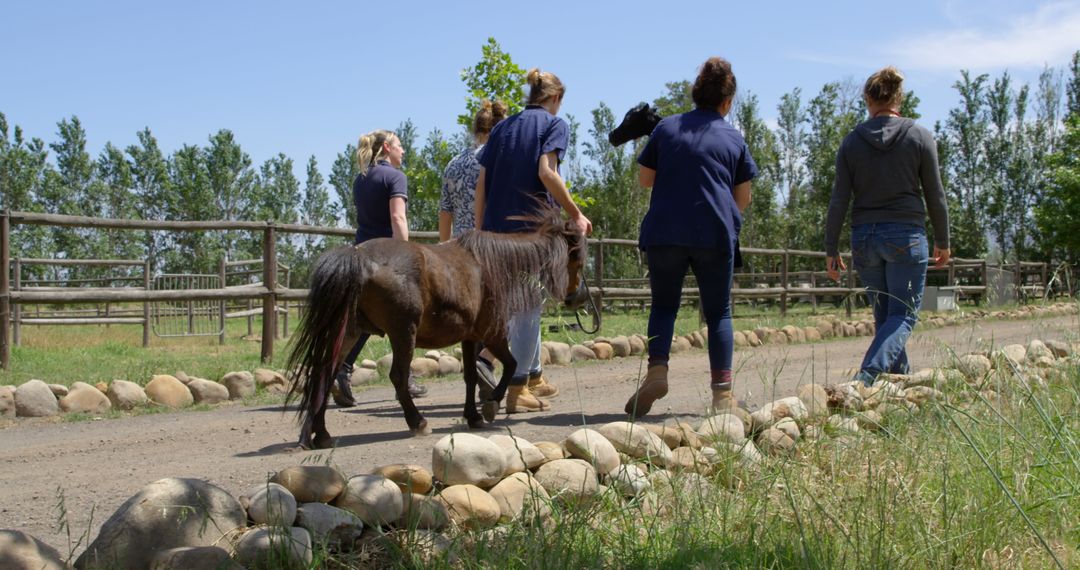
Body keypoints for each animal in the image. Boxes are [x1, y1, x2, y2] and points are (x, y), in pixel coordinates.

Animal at [285, 206, 587, 449]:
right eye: (578, 258)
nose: (577, 298)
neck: (492, 264)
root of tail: (358, 256)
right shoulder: (493, 333)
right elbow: (511, 365)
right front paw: (491, 404)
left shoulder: (470, 337)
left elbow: (470, 376)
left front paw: (474, 415)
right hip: (402, 333)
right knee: (397, 376)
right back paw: (417, 421)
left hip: (347, 333)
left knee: (324, 375)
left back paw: (319, 434)